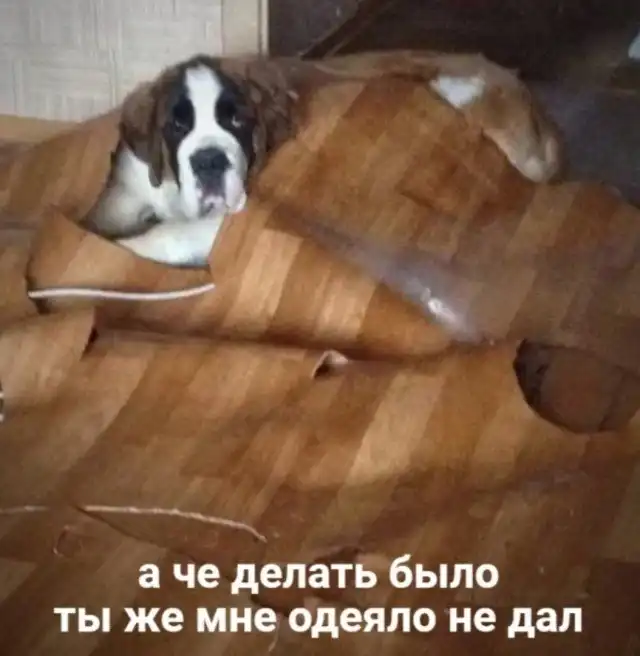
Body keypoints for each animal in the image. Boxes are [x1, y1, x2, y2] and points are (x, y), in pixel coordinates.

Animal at [85, 52, 561, 267]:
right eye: (177, 126)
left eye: (237, 119)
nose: (209, 162)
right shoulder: (128, 184)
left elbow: (171, 235)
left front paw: (120, 250)